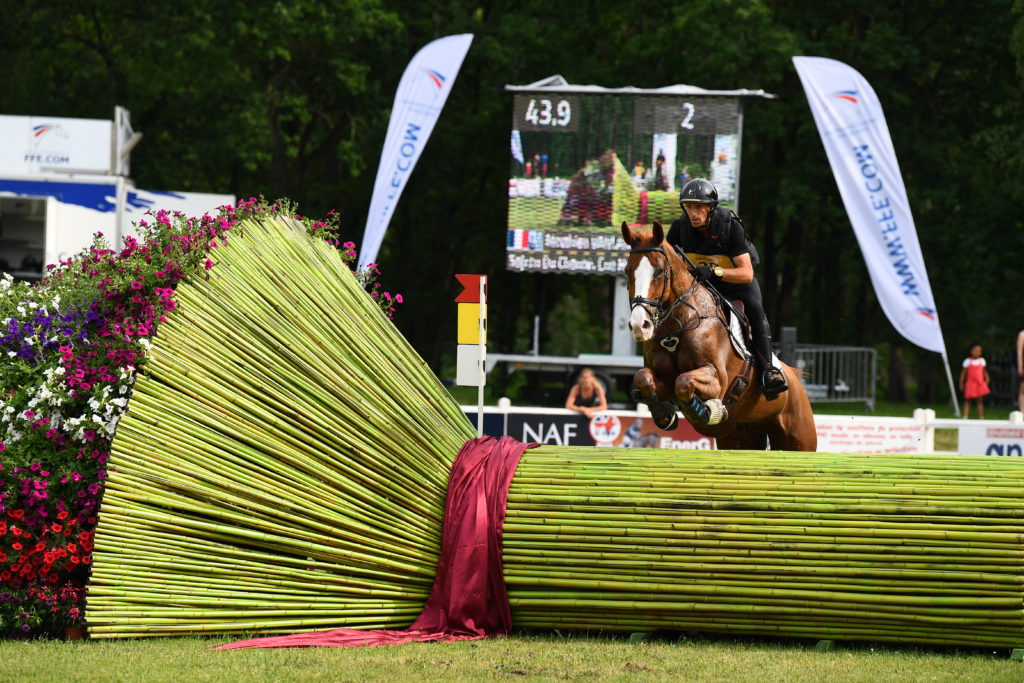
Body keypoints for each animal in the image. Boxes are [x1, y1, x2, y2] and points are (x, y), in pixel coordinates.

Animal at [614, 222, 815, 450]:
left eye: (659, 271)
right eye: (627, 271)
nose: (640, 326)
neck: (679, 325)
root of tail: (796, 382)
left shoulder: (717, 379)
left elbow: (684, 381)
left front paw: (709, 412)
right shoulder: (662, 379)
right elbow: (643, 377)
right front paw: (664, 414)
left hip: (799, 437)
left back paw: (772, 379)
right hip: (741, 437)